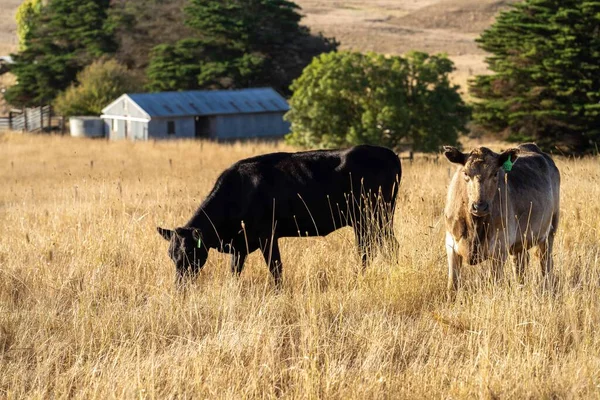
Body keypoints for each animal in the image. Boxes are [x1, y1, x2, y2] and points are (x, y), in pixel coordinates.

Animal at [157, 145, 400, 286]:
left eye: (190, 252)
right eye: (171, 255)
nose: (180, 286)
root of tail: (389, 153)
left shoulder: (268, 236)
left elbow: (276, 269)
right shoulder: (240, 245)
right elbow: (234, 273)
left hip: (373, 216)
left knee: (374, 247)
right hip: (371, 219)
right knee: (379, 246)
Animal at [442, 144, 560, 290]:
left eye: (495, 173)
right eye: (465, 173)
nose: (479, 206)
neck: (475, 226)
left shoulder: (499, 248)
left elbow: (494, 282)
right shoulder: (451, 245)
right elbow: (452, 285)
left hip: (551, 229)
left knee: (545, 263)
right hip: (520, 243)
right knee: (520, 265)